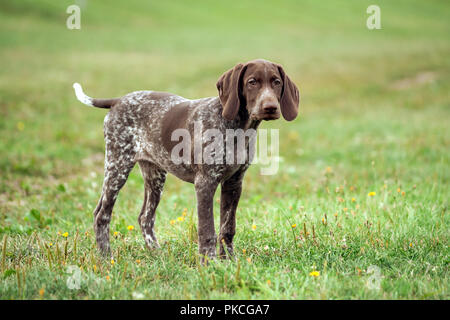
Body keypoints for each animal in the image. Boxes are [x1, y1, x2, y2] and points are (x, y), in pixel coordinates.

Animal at [73, 58, 298, 262]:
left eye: (276, 82)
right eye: (252, 82)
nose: (270, 107)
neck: (237, 128)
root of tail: (118, 100)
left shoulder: (234, 183)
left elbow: (228, 228)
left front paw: (229, 261)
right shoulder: (205, 183)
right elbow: (207, 230)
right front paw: (209, 263)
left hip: (155, 176)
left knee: (145, 217)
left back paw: (157, 253)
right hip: (118, 165)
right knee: (102, 214)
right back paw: (106, 258)